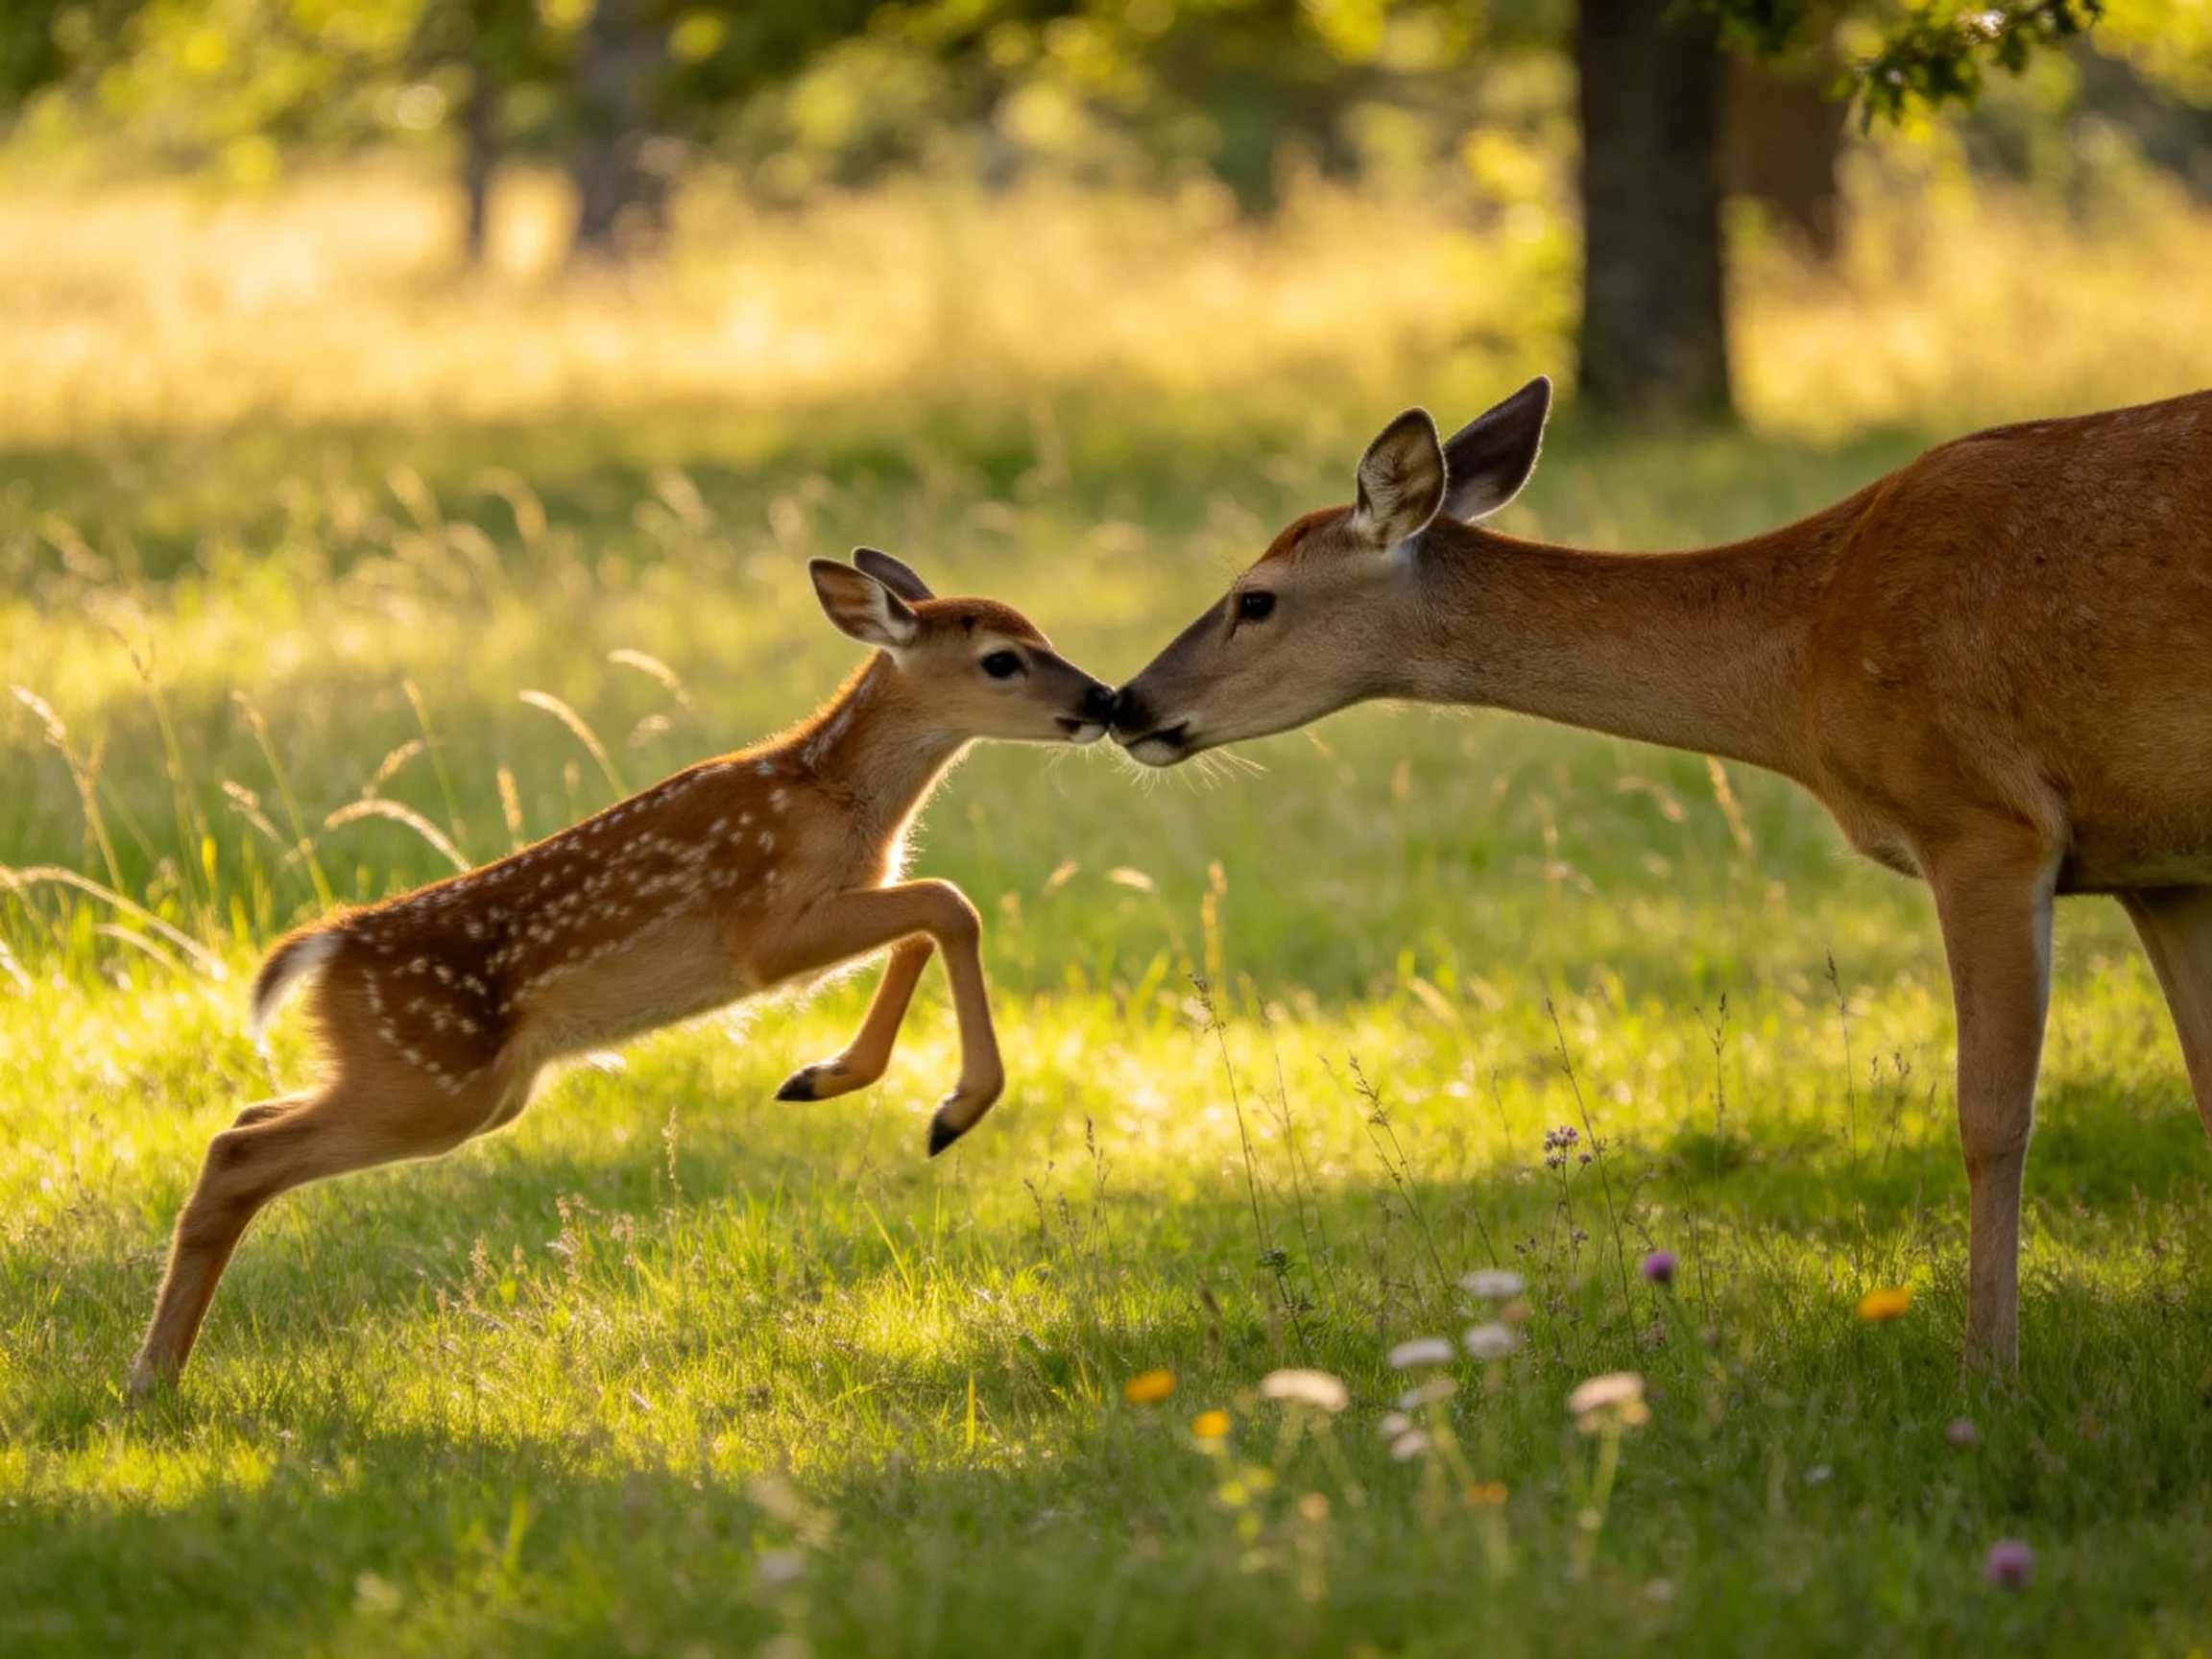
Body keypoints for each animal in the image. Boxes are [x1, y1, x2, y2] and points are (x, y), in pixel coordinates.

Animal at [130, 550, 1117, 1396]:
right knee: (238, 1152)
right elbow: (950, 902)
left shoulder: (836, 911)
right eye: (1001, 660)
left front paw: (826, 1075)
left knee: (246, 1122)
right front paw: (954, 1110)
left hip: (454, 1088)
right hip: (432, 1082)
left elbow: (925, 924)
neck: (834, 801)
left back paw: (161, 1372)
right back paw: (150, 1382)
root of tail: (329, 948)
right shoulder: (762, 929)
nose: (1105, 698)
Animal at [1110, 376, 2212, 1371]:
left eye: (1254, 599)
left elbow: (1990, 1118)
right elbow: (2203, 1087)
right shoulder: (2156, 863)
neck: (1806, 653)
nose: (1127, 703)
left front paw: (1990, 1368)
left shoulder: (1986, 821)